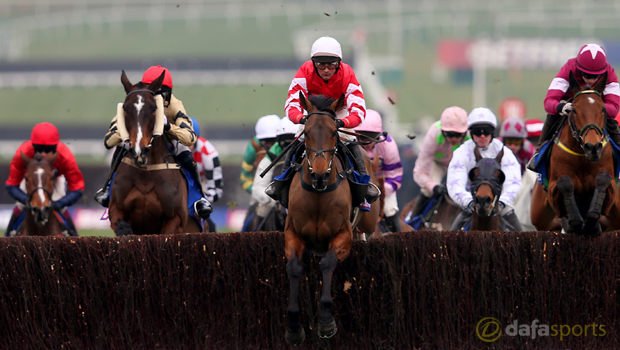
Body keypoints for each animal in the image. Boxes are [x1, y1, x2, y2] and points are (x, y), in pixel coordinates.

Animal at [284, 94, 380, 346]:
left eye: (334, 133)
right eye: (307, 132)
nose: (319, 176)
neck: (319, 193)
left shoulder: (343, 236)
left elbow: (327, 262)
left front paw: (326, 322)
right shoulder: (292, 234)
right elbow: (294, 267)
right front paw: (294, 327)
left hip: (369, 220)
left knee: (368, 231)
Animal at [532, 71, 616, 235]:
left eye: (603, 109)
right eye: (575, 110)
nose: (593, 147)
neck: (583, 157)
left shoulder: (613, 188)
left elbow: (603, 178)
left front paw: (592, 224)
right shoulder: (552, 189)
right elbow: (565, 182)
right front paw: (577, 223)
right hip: (541, 218)